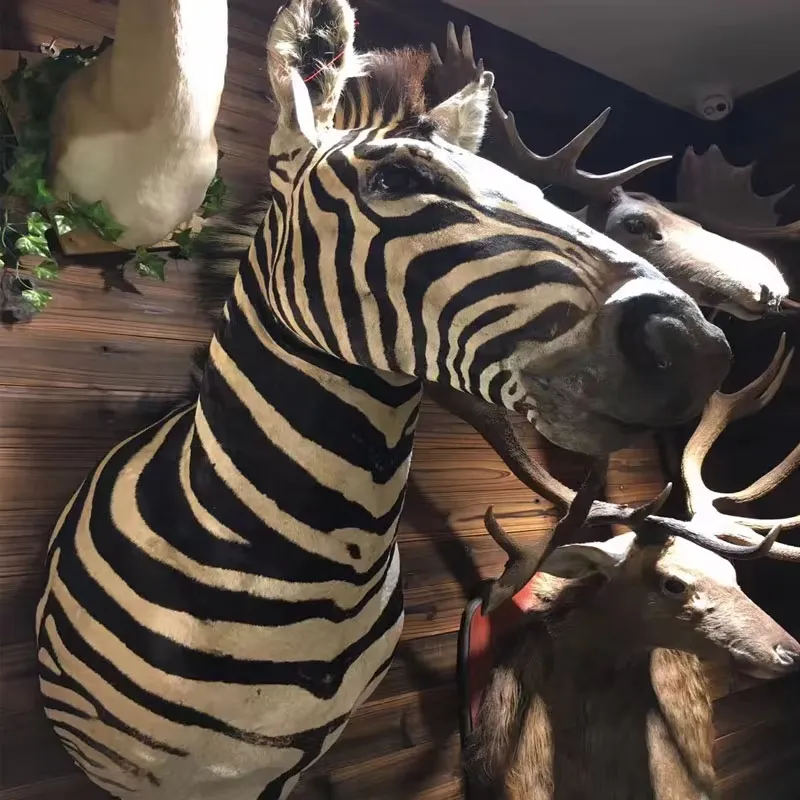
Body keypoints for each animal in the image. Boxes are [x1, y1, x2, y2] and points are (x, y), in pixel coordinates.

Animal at [35, 1, 731, 799]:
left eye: (541, 198)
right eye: (396, 177)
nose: (702, 348)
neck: (311, 579)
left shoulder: (294, 762)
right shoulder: (124, 768)